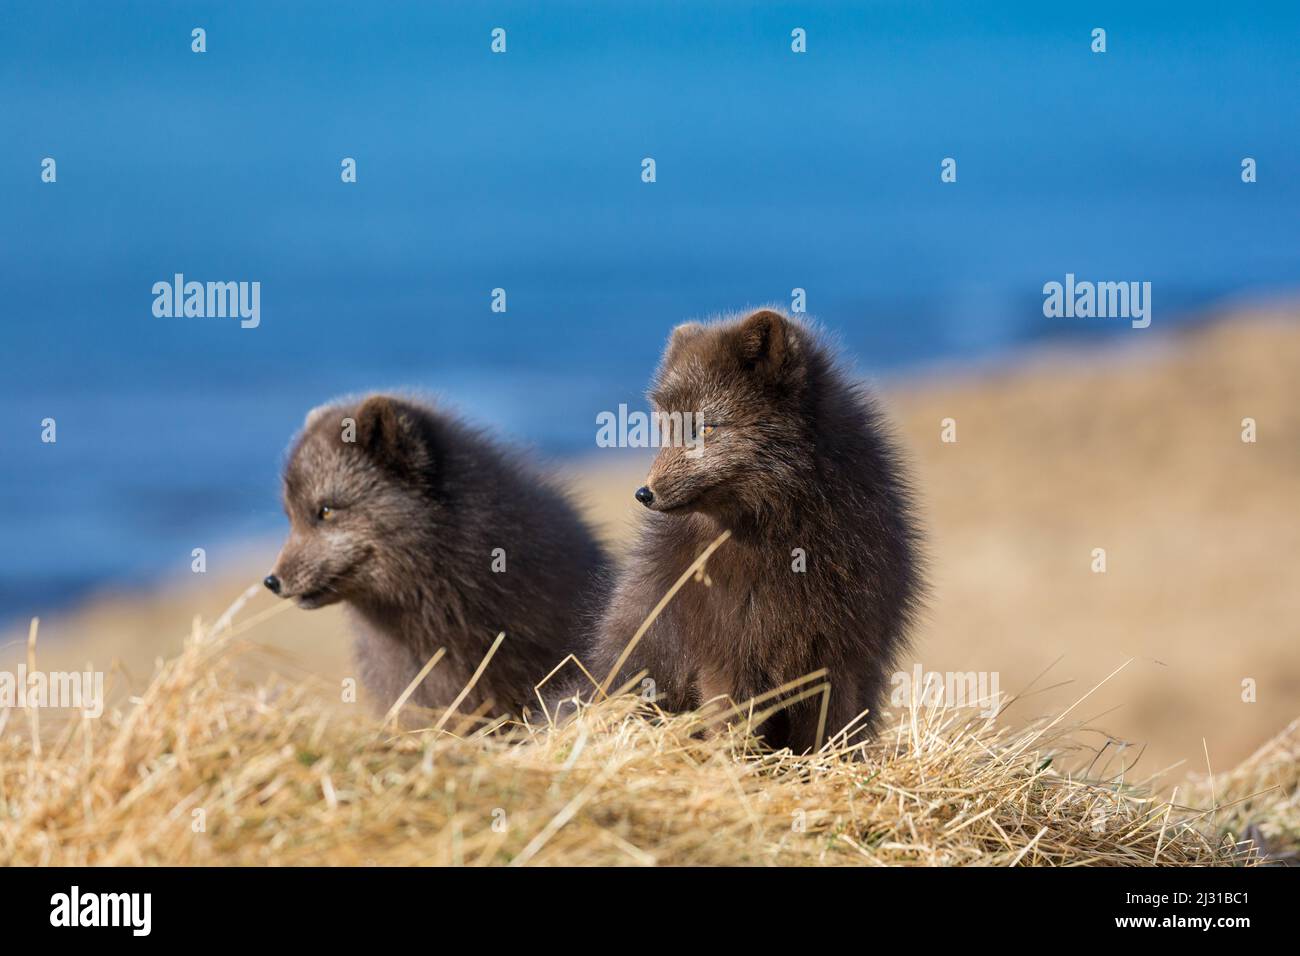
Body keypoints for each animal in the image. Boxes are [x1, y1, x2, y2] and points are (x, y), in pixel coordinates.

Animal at [590, 310, 925, 749]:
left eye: (705, 428)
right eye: (665, 429)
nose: (644, 493)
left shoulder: (840, 656)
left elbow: (831, 729)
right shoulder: (727, 659)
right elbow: (731, 725)